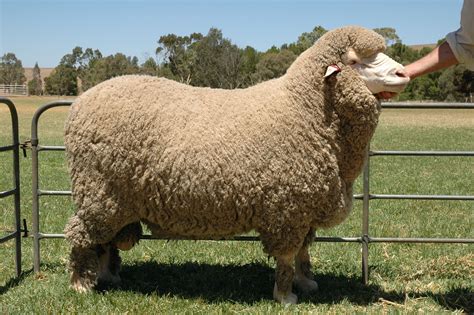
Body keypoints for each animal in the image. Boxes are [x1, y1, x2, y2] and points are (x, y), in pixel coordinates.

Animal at [65, 26, 410, 304]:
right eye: (356, 61)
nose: (404, 73)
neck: (305, 109)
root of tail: (82, 101)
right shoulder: (286, 207)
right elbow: (287, 257)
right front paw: (285, 296)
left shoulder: (304, 208)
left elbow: (303, 251)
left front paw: (306, 282)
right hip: (99, 192)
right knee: (81, 233)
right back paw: (80, 283)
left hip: (114, 199)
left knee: (105, 240)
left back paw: (108, 276)